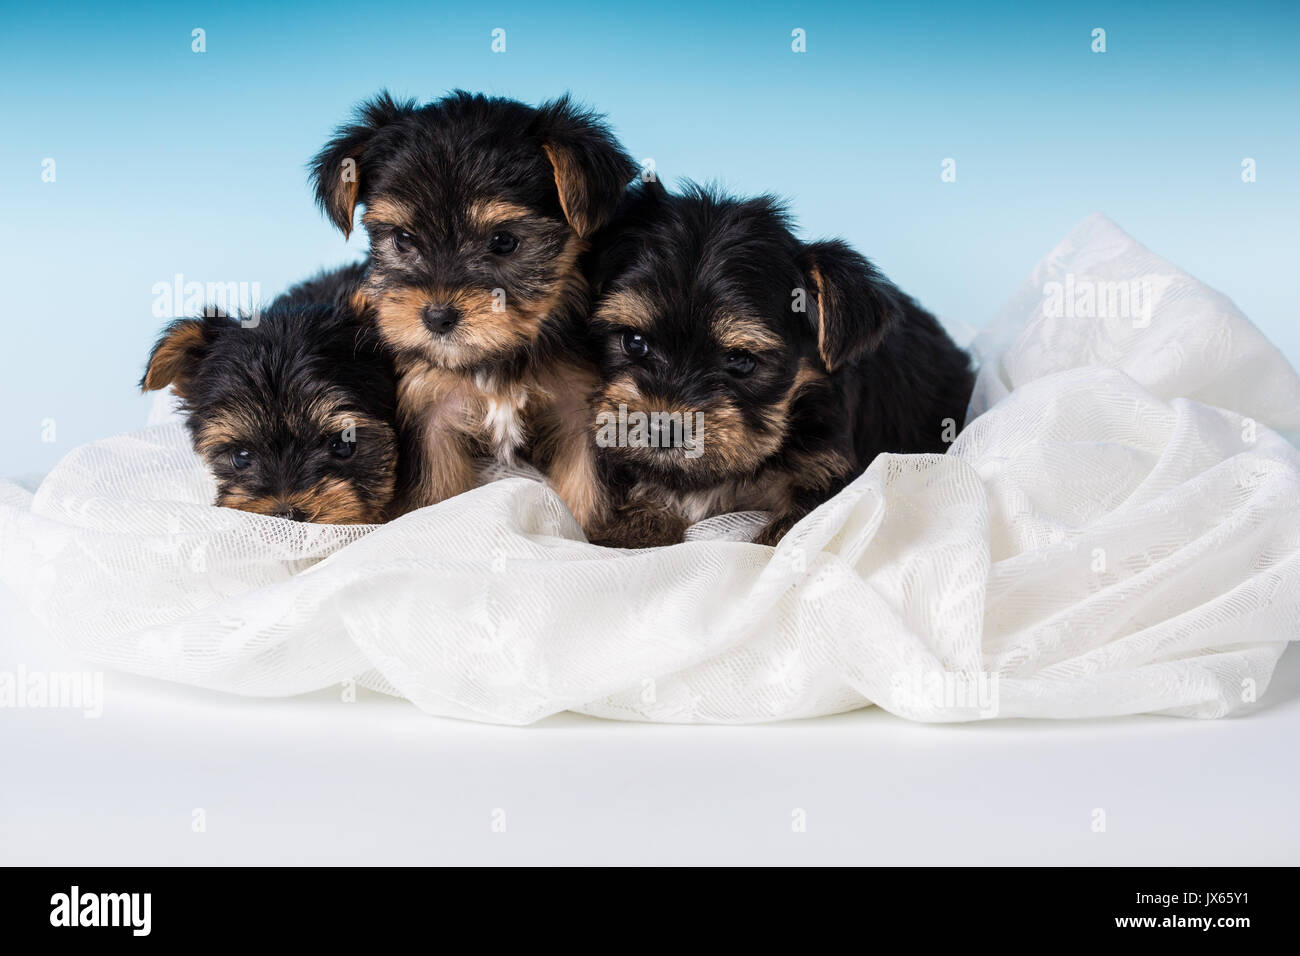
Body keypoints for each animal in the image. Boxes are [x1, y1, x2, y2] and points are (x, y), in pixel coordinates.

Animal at [314, 89, 639, 522]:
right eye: (402, 239)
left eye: (503, 241)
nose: (437, 317)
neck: (494, 357)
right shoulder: (430, 410)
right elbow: (432, 492)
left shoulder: (578, 408)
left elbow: (586, 487)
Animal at [585, 183, 972, 548]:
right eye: (634, 342)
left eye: (742, 361)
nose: (662, 427)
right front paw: (634, 530)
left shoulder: (830, 475)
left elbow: (799, 529)